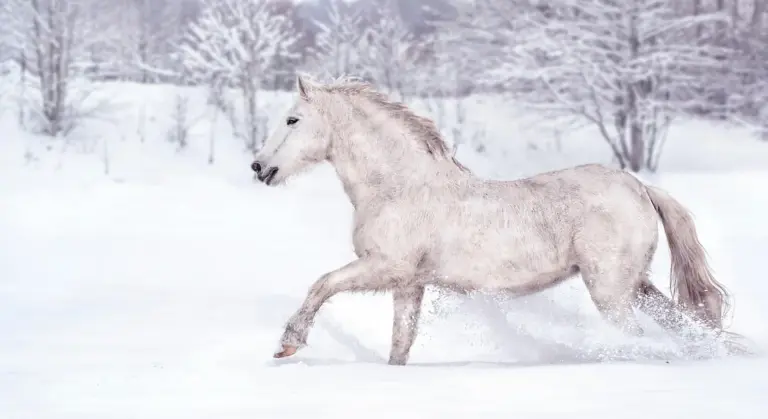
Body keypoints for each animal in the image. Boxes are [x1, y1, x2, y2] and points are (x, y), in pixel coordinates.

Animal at [251, 74, 737, 365]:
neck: (400, 186)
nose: (260, 167)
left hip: (611, 291)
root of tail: (640, 187)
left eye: (293, 119)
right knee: (687, 320)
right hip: (635, 285)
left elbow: (322, 284)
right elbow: (400, 343)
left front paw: (288, 344)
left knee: (637, 337)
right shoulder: (408, 285)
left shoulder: (384, 267)